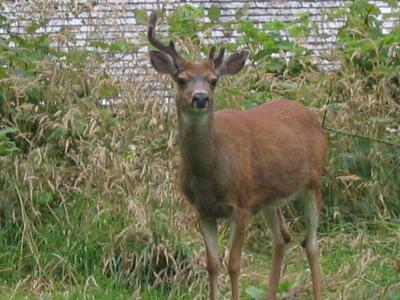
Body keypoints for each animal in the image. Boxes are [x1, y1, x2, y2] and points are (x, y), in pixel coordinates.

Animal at [147, 11, 328, 300]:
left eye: (214, 80)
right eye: (181, 79)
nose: (201, 98)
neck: (209, 171)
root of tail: (308, 113)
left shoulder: (241, 205)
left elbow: (233, 264)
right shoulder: (203, 210)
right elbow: (212, 264)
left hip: (313, 181)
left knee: (310, 243)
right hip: (269, 198)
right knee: (282, 238)